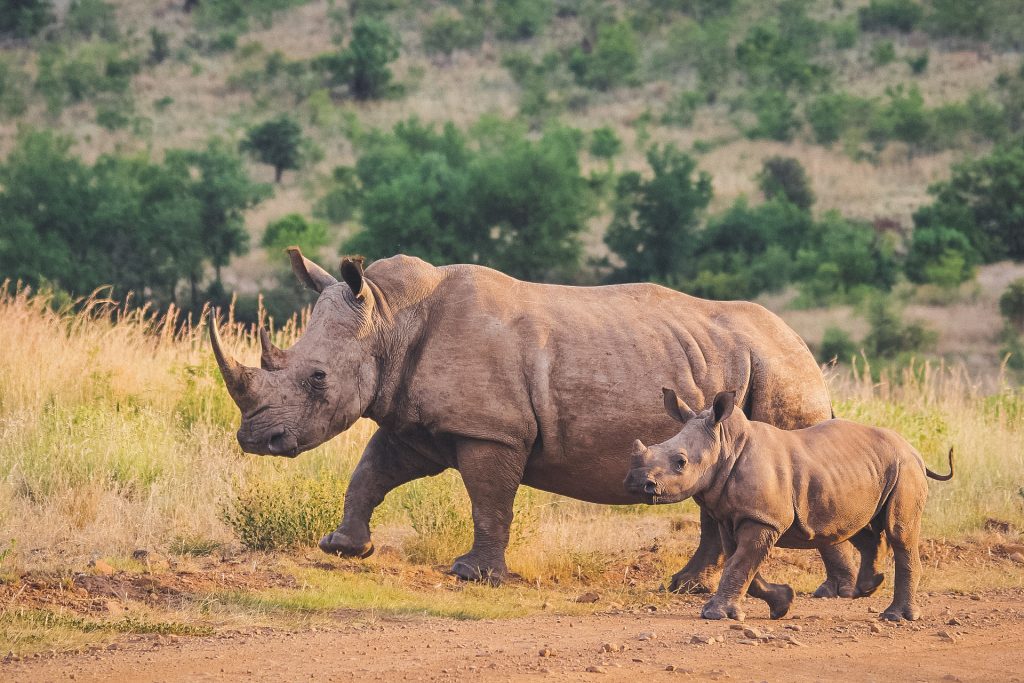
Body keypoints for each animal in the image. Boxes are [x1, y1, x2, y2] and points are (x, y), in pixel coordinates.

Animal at [211, 252, 860, 598]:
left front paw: (474, 576)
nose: (255, 440)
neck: (391, 318)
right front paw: (343, 547)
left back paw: (837, 591)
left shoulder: (491, 430)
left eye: (317, 377)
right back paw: (688, 587)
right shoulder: (414, 421)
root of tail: (804, 348)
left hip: (778, 373)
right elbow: (371, 471)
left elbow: (489, 499)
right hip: (739, 372)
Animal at [622, 387, 950, 622]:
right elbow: (741, 564)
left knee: (899, 533)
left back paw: (896, 617)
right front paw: (783, 603)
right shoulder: (733, 516)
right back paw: (868, 587)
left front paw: (714, 614)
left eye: (680, 462)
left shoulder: (762, 518)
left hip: (905, 468)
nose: (637, 482)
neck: (725, 444)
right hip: (865, 471)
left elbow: (740, 563)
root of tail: (914, 450)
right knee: (855, 524)